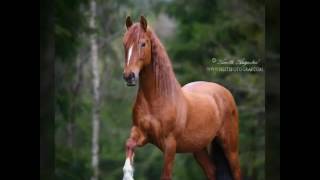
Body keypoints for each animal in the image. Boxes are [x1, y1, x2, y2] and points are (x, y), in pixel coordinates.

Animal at [121, 15, 241, 180]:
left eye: (143, 43)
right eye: (125, 43)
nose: (129, 76)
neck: (157, 99)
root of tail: (224, 92)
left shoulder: (170, 146)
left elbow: (166, 175)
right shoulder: (141, 133)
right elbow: (129, 144)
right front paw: (128, 173)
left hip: (230, 148)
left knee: (237, 172)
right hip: (198, 149)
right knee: (212, 172)